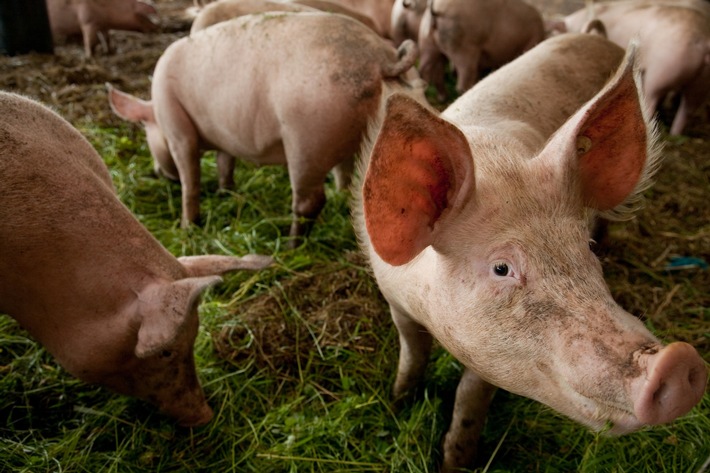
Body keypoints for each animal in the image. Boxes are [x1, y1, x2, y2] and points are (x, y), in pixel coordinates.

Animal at [109, 12, 426, 245]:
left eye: (148, 133)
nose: (160, 173)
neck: (156, 112)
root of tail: (380, 58)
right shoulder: (225, 137)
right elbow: (225, 163)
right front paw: (226, 192)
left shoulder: (177, 129)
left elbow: (191, 181)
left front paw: (188, 226)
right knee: (352, 183)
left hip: (306, 140)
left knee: (310, 201)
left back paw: (289, 246)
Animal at [356, 32, 710, 468]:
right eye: (501, 268)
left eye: (586, 247)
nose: (678, 362)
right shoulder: (396, 301)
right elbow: (411, 354)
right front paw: (399, 401)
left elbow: (470, 396)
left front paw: (457, 461)